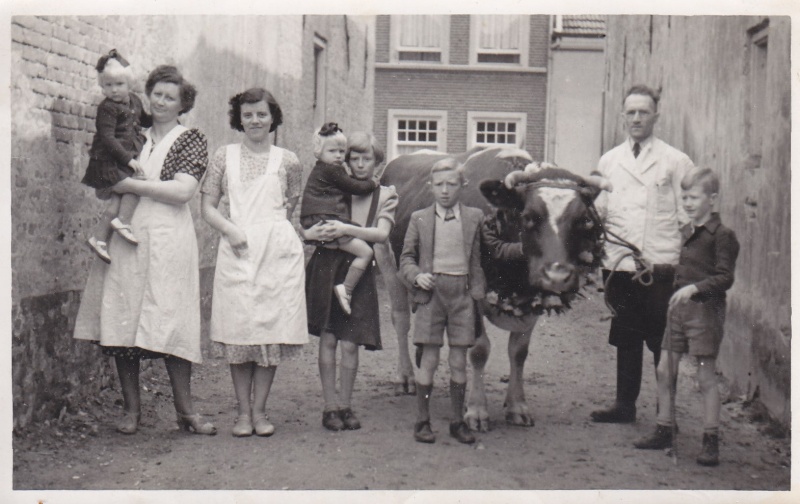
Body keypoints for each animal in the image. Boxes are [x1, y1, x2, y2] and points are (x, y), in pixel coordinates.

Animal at [374, 146, 608, 431]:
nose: (557, 275)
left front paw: (517, 406)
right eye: (528, 217)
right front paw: (476, 410)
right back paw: (405, 376)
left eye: (582, 220)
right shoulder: (473, 293)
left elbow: (519, 352)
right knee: (401, 319)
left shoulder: (533, 300)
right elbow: (479, 350)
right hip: (388, 260)